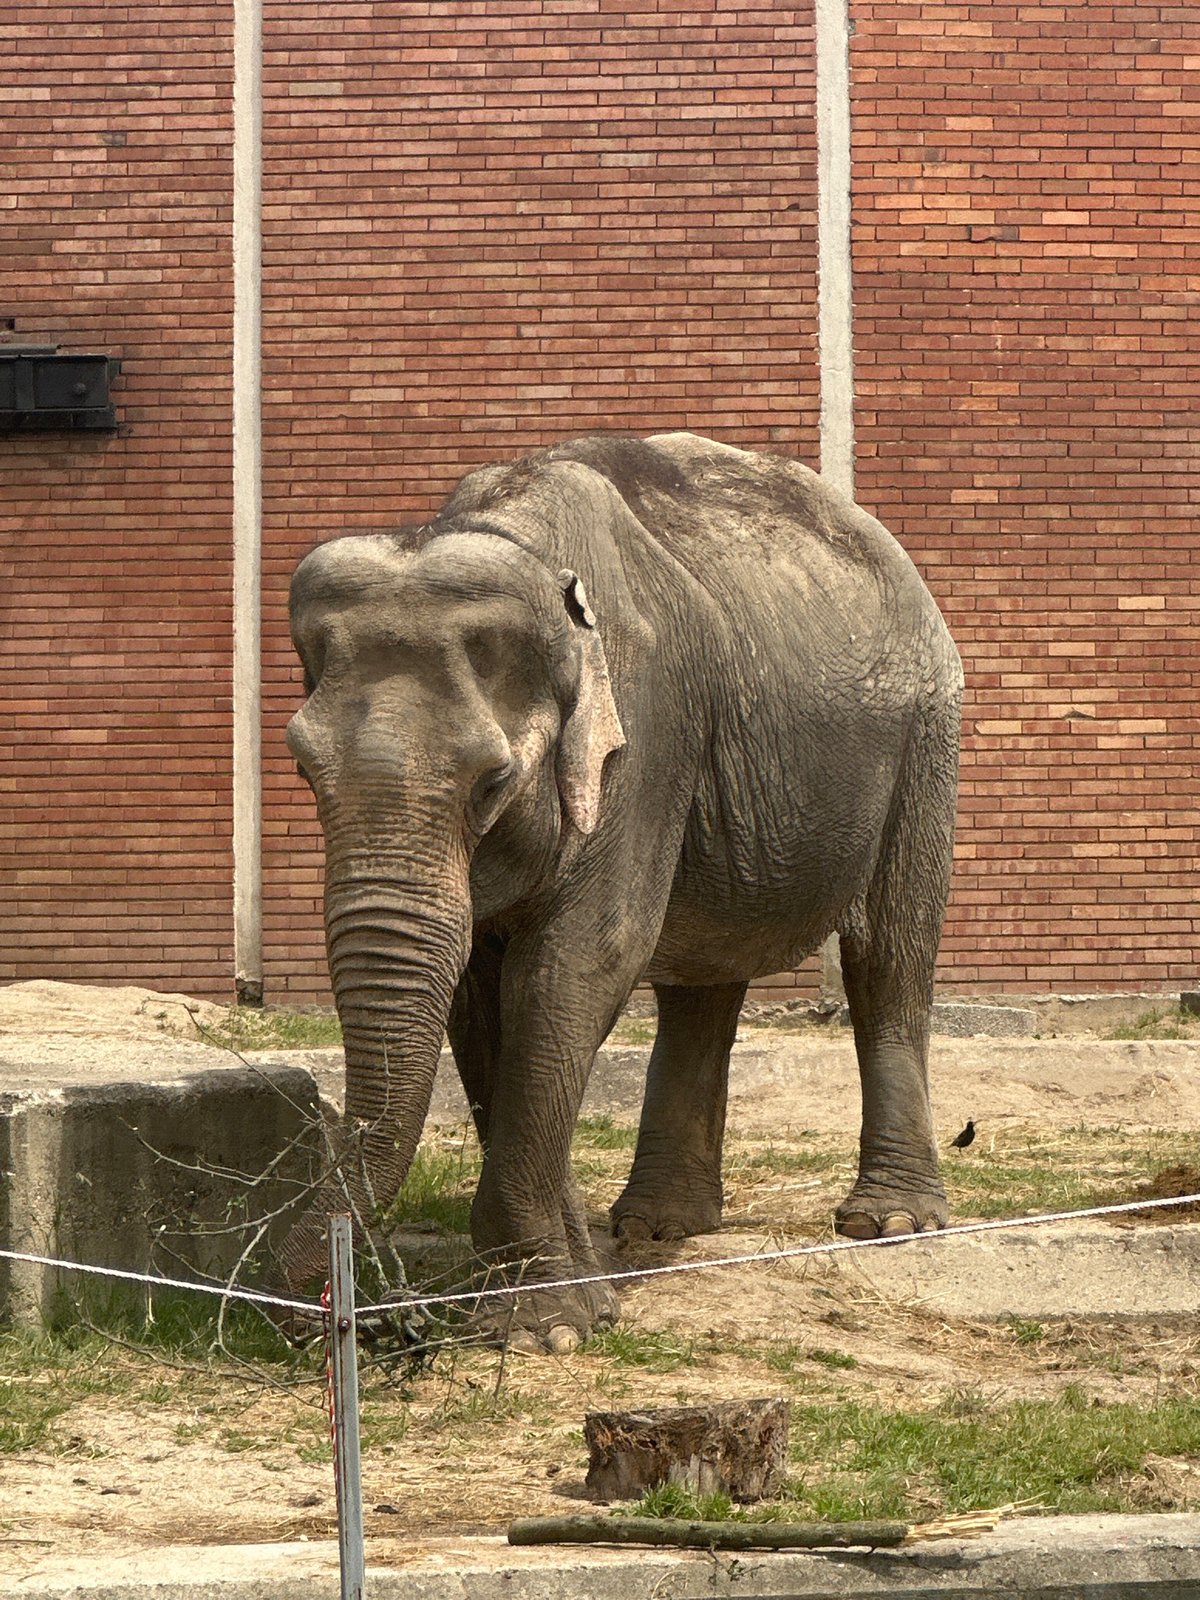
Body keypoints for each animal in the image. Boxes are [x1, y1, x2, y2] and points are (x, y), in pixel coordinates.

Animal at [283, 431, 963, 1349]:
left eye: (493, 781)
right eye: (301, 769)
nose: (320, 1305)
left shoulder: (645, 735)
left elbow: (572, 966)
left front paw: (546, 1331)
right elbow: (475, 993)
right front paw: (578, 1291)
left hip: (926, 737)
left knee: (891, 952)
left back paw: (890, 1223)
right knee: (702, 982)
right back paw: (657, 1227)